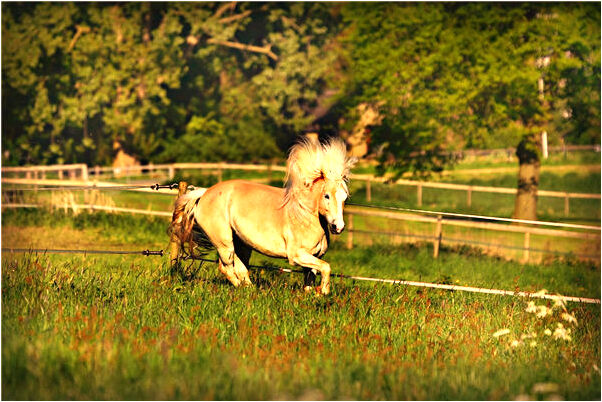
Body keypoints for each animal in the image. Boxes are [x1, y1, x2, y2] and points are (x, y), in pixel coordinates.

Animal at [166, 137, 354, 294]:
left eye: (344, 197)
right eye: (327, 196)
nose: (338, 226)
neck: (303, 216)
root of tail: (205, 193)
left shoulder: (314, 257)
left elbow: (312, 276)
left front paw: (313, 295)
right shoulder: (297, 255)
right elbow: (326, 267)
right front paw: (324, 292)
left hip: (241, 244)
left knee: (237, 268)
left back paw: (251, 289)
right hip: (224, 243)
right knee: (228, 267)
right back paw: (248, 291)